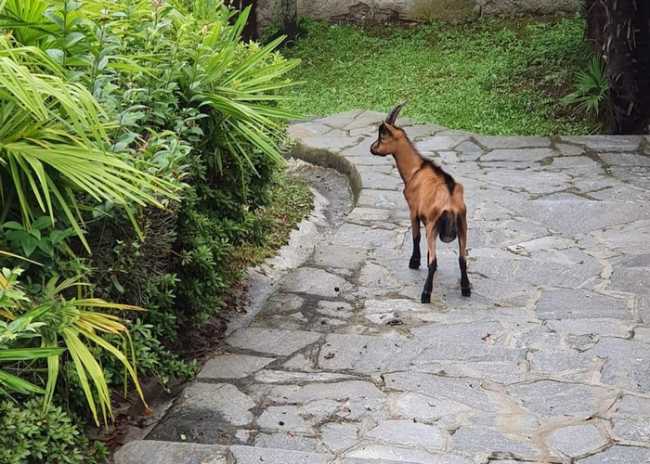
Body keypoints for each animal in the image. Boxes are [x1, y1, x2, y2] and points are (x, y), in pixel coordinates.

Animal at [370, 104, 471, 302]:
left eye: (382, 136)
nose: (372, 148)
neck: (415, 169)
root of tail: (450, 201)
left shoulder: (413, 210)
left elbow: (415, 236)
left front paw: (414, 262)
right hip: (463, 224)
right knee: (462, 259)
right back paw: (466, 289)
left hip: (433, 226)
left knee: (434, 260)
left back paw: (425, 294)